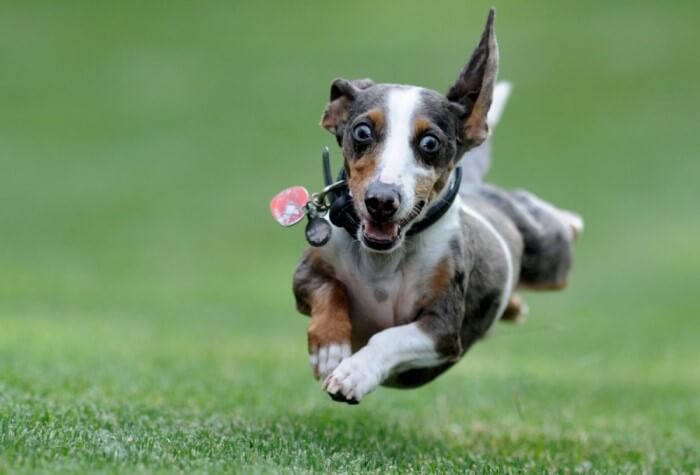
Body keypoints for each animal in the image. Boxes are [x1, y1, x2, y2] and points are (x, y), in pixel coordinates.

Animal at [292, 9, 584, 404]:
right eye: (362, 132)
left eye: (430, 142)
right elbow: (328, 289)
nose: (381, 201)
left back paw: (568, 223)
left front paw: (354, 373)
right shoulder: (306, 274)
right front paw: (330, 348)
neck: (384, 260)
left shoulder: (442, 331)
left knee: (564, 232)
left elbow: (388, 338)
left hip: (550, 259)